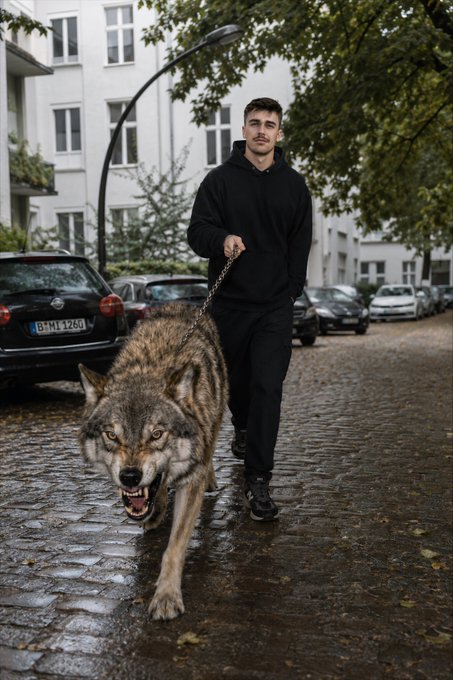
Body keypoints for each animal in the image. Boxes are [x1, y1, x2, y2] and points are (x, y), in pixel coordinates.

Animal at [78, 303, 228, 620]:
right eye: (112, 435)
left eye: (157, 434)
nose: (130, 477)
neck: (152, 365)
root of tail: (182, 303)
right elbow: (156, 491)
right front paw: (155, 510)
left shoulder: (190, 483)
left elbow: (174, 548)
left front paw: (167, 596)